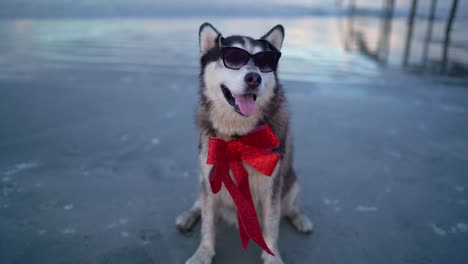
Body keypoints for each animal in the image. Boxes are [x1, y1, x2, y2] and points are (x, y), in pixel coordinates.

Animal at [176, 23, 310, 264]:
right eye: (232, 59)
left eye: (265, 62)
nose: (254, 78)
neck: (238, 135)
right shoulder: (210, 178)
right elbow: (207, 224)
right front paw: (202, 253)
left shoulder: (271, 186)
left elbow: (272, 226)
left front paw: (273, 257)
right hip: (202, 179)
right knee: (199, 203)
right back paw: (188, 216)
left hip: (292, 180)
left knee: (290, 207)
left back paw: (300, 218)